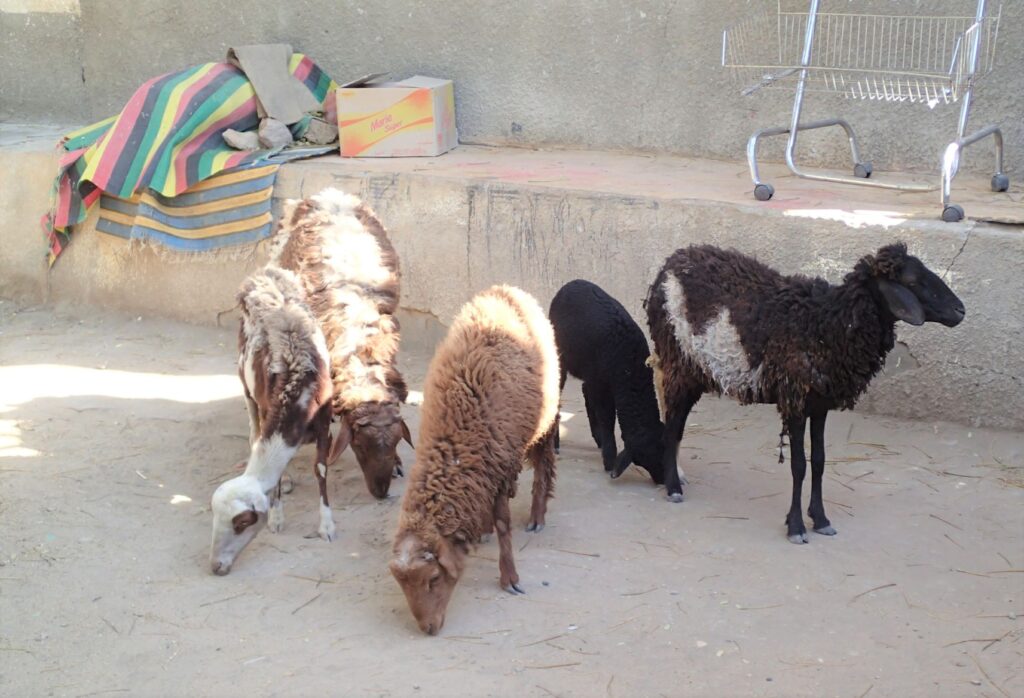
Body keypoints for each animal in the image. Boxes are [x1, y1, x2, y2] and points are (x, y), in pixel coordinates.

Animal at [209, 264, 333, 573]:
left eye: (242, 523)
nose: (216, 566)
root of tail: (266, 273)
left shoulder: (325, 422)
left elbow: (321, 470)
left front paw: (327, 526)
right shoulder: (268, 412)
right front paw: (277, 517)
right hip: (246, 386)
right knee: (253, 430)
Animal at [387, 284, 561, 634]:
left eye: (434, 578)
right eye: (402, 585)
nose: (428, 629)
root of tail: (506, 288)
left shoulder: (501, 466)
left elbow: (504, 523)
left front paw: (510, 577)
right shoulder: (485, 469)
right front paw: (481, 529)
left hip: (546, 422)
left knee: (544, 466)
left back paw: (537, 516)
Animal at [548, 276, 667, 478]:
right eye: (645, 457)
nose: (661, 479)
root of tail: (570, 284)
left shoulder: (599, 380)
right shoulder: (601, 384)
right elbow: (607, 417)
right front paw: (609, 459)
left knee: (585, 392)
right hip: (562, 357)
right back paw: (555, 442)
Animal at [647, 241, 966, 540]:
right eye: (912, 281)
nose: (960, 310)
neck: (826, 323)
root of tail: (673, 261)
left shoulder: (819, 403)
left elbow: (820, 461)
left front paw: (821, 520)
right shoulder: (795, 399)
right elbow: (799, 465)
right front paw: (797, 527)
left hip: (692, 371)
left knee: (676, 424)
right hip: (678, 361)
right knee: (671, 426)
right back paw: (673, 487)